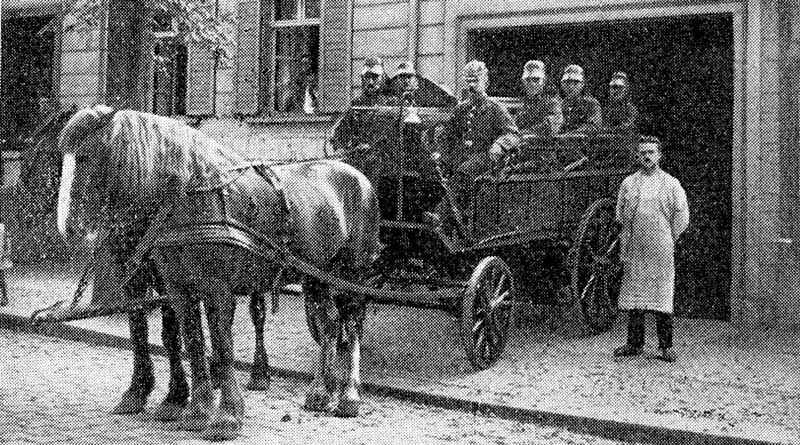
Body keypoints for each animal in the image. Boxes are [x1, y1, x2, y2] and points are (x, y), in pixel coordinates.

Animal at [55, 106, 382, 438]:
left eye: (84, 157)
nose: (69, 229)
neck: (189, 197)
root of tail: (356, 175)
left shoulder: (216, 290)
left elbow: (221, 347)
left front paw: (226, 416)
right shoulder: (174, 287)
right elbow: (188, 340)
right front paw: (193, 409)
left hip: (353, 273)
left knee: (352, 325)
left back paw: (349, 395)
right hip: (317, 277)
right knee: (330, 326)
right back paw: (321, 391)